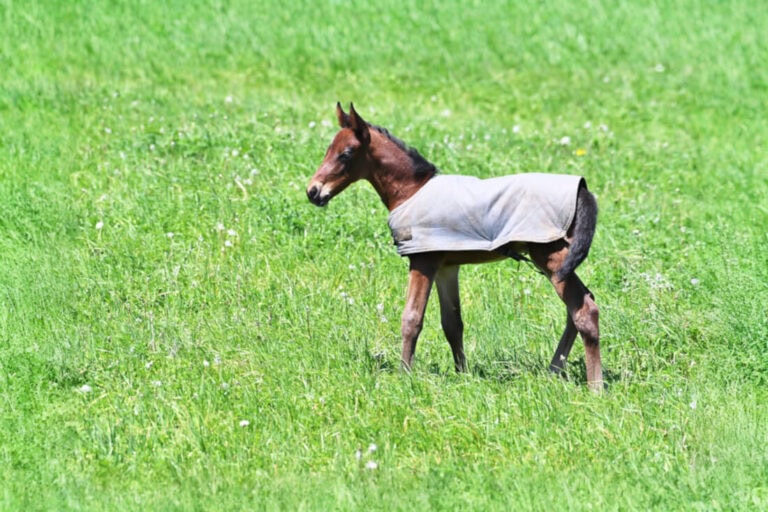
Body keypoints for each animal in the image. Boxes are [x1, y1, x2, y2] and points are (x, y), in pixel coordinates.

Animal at [306, 103, 602, 391]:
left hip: (551, 257)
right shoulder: (446, 267)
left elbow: (411, 319)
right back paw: (554, 371)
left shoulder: (423, 261)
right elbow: (452, 323)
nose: (313, 191)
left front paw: (404, 378)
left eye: (346, 154)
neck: (412, 190)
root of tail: (582, 189)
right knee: (577, 307)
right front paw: (463, 374)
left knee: (585, 309)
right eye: (328, 150)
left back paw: (595, 387)